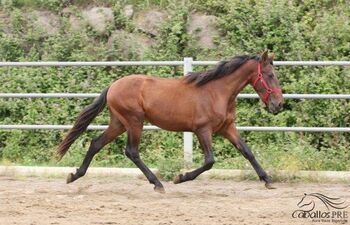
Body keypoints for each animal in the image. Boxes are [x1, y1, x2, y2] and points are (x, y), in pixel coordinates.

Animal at [56, 50, 284, 192]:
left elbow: (247, 152)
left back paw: (74, 175)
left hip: (119, 123)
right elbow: (209, 161)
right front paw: (180, 177)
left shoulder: (227, 128)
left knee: (96, 143)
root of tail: (113, 86)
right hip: (134, 122)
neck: (217, 92)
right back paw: (158, 184)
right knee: (131, 151)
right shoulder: (203, 130)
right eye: (270, 75)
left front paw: (268, 181)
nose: (279, 105)